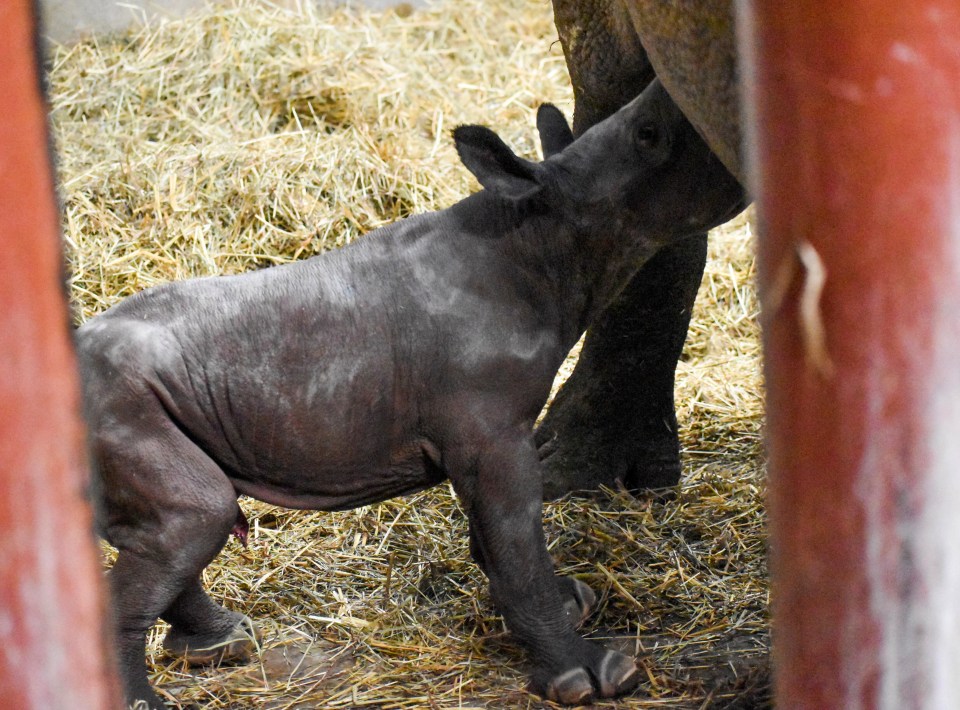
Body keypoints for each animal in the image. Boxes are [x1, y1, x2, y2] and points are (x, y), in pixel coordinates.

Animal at [80, 79, 744, 710]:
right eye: (650, 135)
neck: (543, 236)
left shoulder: (486, 433)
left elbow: (498, 538)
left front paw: (566, 603)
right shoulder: (491, 431)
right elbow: (517, 540)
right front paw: (590, 677)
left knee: (170, 528)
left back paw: (226, 643)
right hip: (119, 406)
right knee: (196, 515)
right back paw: (150, 698)